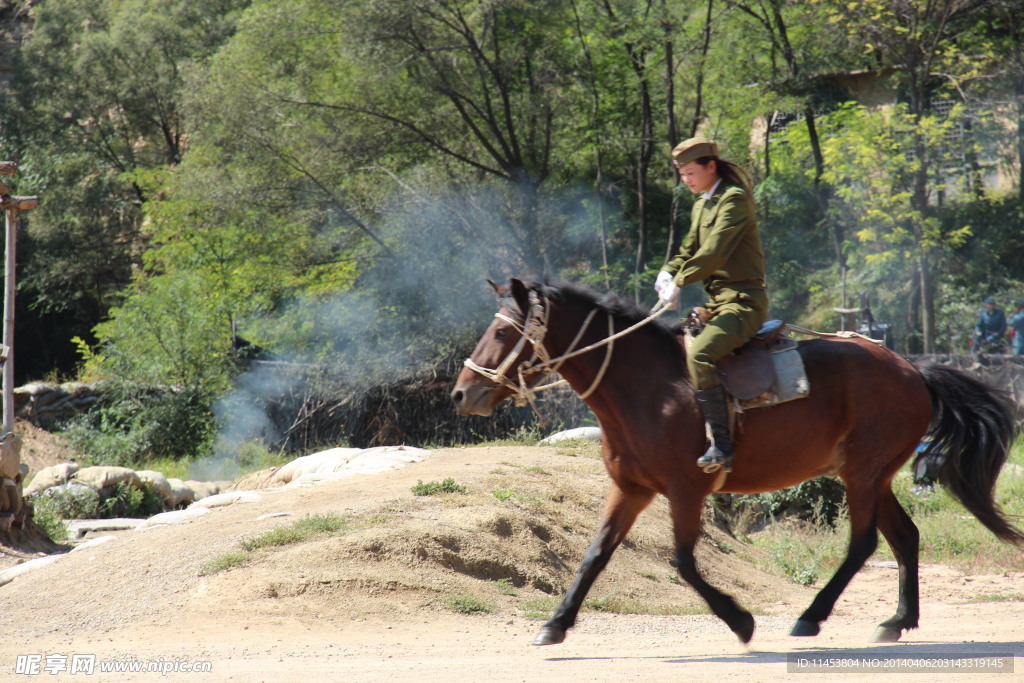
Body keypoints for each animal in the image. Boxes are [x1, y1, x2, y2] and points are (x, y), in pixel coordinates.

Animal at [452, 276, 1019, 647]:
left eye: (502, 333)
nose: (461, 393)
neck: (646, 388)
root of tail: (912, 369)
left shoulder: (686, 491)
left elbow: (683, 562)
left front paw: (739, 620)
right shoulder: (630, 490)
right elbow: (595, 554)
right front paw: (556, 622)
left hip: (863, 475)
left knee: (863, 543)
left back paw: (812, 616)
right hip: (872, 477)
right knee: (905, 537)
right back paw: (898, 621)